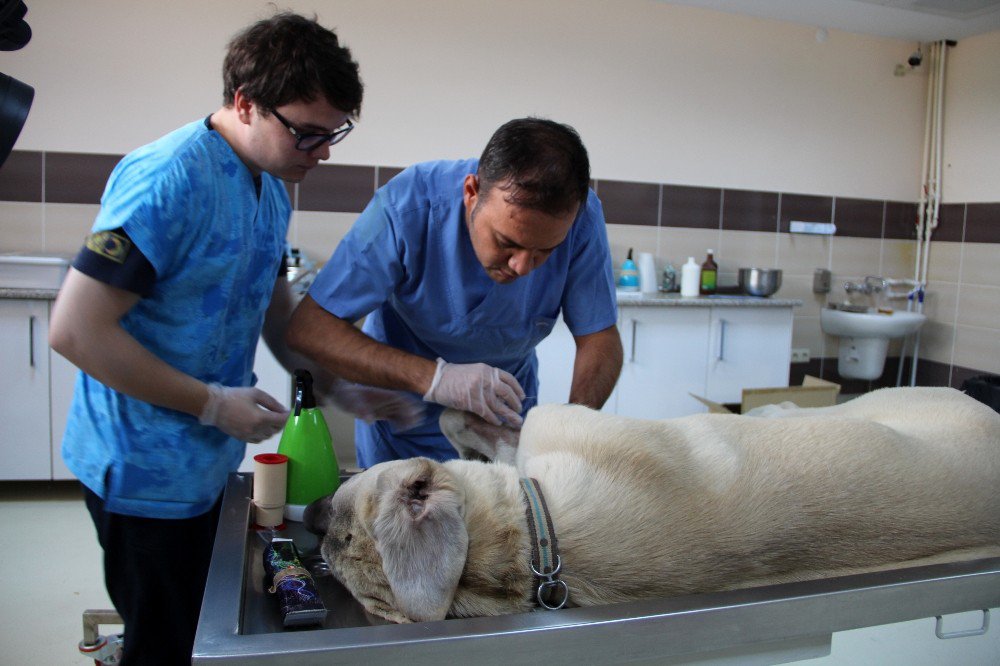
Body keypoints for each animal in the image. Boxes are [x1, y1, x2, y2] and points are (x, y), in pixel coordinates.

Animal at [302, 384, 1000, 624]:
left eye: (342, 528)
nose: (309, 518)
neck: (533, 543)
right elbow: (470, 425)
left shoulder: (538, 434)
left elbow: (468, 423)